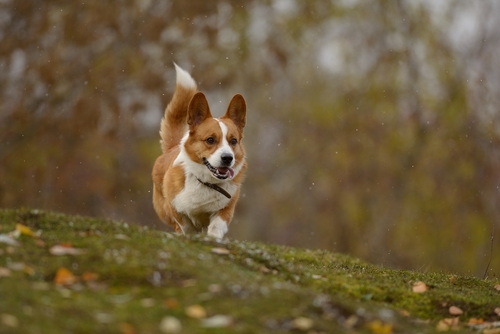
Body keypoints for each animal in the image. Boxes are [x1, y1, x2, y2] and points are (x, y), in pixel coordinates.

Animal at [151, 64, 247, 237]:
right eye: (210, 140)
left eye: (233, 141)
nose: (228, 158)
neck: (207, 182)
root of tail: (172, 147)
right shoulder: (176, 211)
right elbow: (186, 226)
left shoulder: (226, 209)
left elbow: (216, 228)